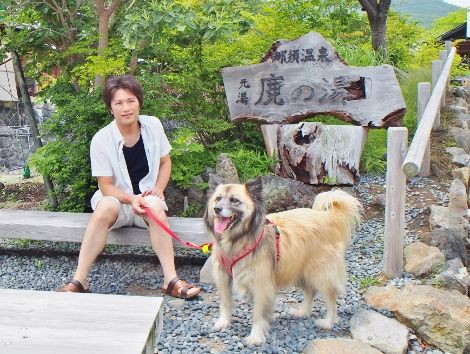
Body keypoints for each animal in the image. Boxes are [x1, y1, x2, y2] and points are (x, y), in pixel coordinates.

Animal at [204, 177, 362, 346]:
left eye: (234, 200)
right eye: (218, 198)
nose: (217, 209)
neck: (236, 241)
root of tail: (329, 218)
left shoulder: (261, 285)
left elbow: (258, 315)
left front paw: (255, 337)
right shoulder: (223, 278)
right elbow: (226, 302)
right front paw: (223, 322)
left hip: (320, 272)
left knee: (331, 297)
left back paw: (328, 322)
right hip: (299, 270)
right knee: (310, 291)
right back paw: (302, 312)